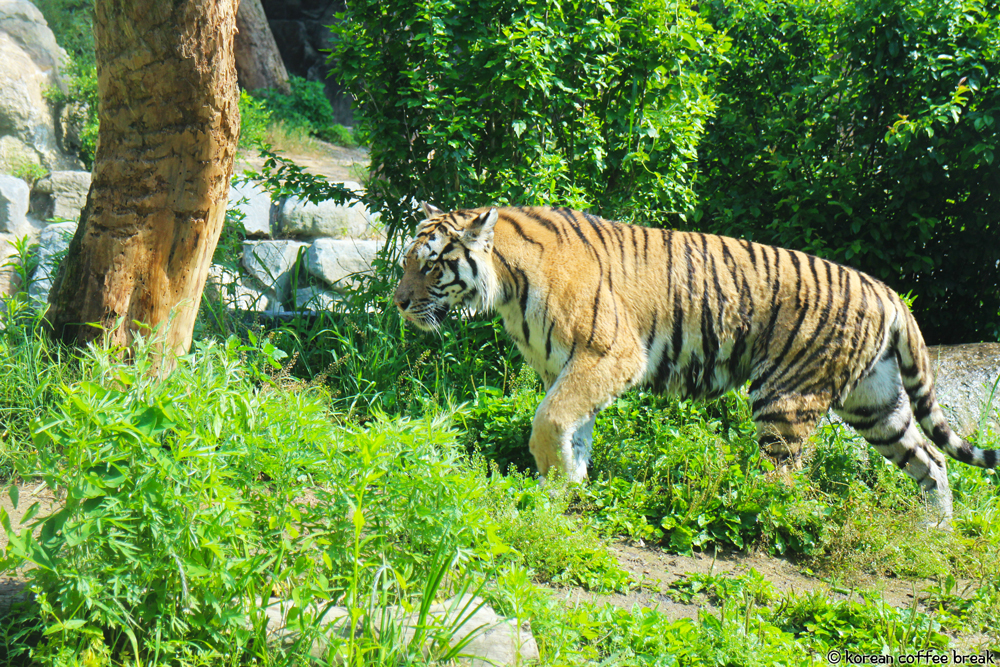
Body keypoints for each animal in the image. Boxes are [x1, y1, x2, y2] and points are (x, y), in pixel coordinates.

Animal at [393, 203, 999, 525]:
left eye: (430, 264)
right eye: (404, 262)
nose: (397, 303)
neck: (507, 286)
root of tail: (888, 292)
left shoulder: (610, 354)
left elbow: (549, 421)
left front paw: (551, 487)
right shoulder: (570, 368)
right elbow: (573, 428)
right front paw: (570, 488)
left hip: (786, 398)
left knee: (783, 480)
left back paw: (750, 513)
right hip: (875, 404)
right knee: (931, 460)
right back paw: (934, 529)